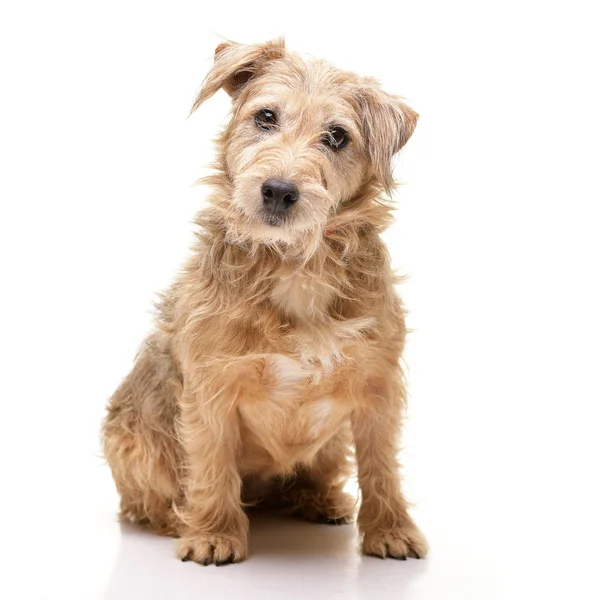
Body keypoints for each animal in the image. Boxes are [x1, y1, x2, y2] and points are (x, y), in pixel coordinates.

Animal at [104, 39, 432, 564]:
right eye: (265, 117)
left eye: (336, 136)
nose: (278, 190)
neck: (297, 265)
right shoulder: (211, 387)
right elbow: (211, 460)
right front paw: (213, 533)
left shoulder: (378, 384)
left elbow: (381, 463)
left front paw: (390, 528)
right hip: (133, 442)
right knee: (147, 498)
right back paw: (177, 520)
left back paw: (321, 500)